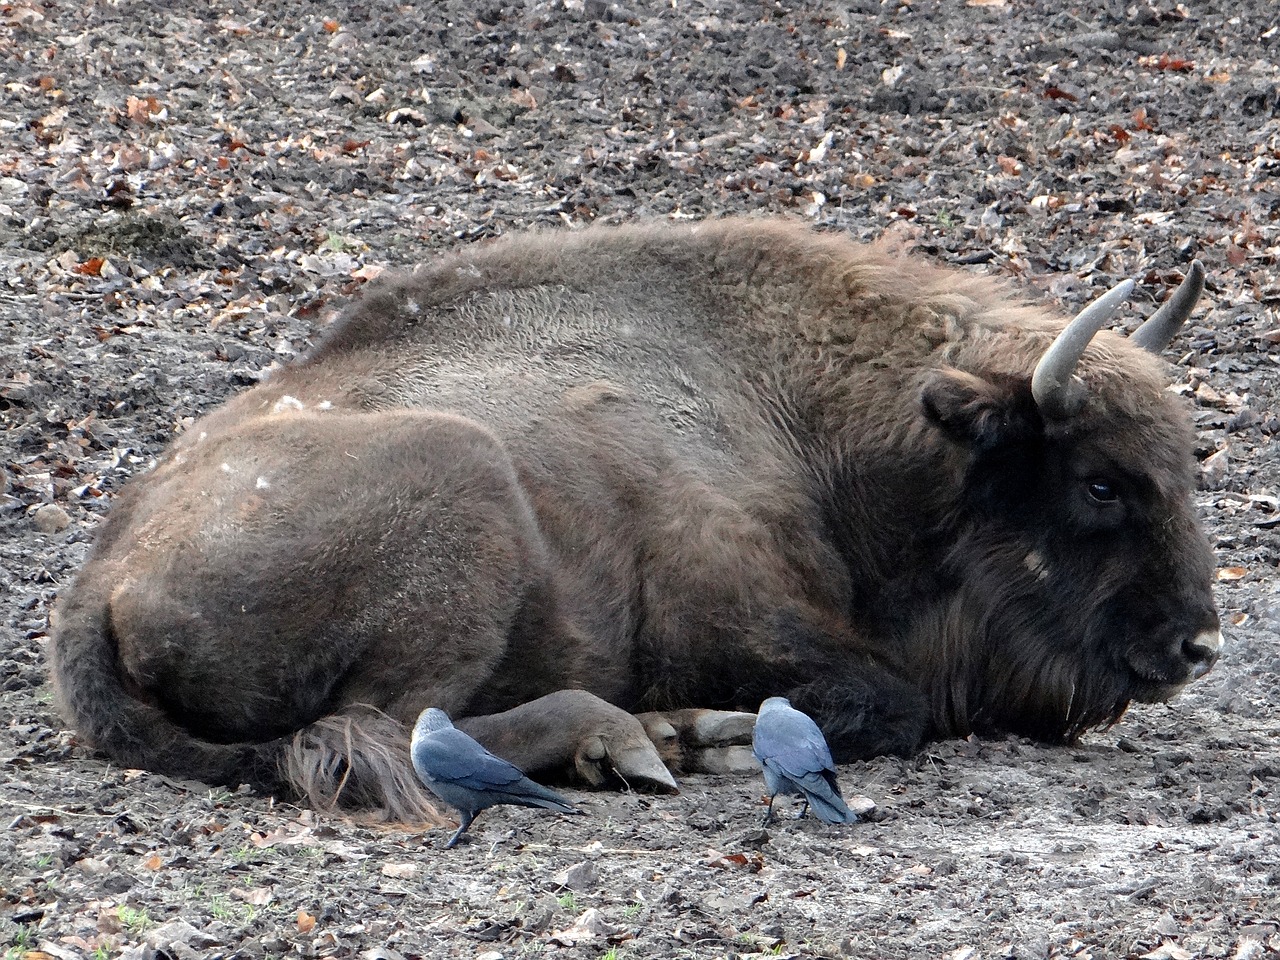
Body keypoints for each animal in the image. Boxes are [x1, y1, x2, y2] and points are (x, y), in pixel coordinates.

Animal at [49, 217, 1223, 819]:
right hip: (465, 483)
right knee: (391, 730)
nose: (1195, 646)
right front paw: (706, 732)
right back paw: (640, 739)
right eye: (1102, 483)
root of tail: (97, 589)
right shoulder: (741, 618)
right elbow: (886, 703)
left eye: (1185, 464)